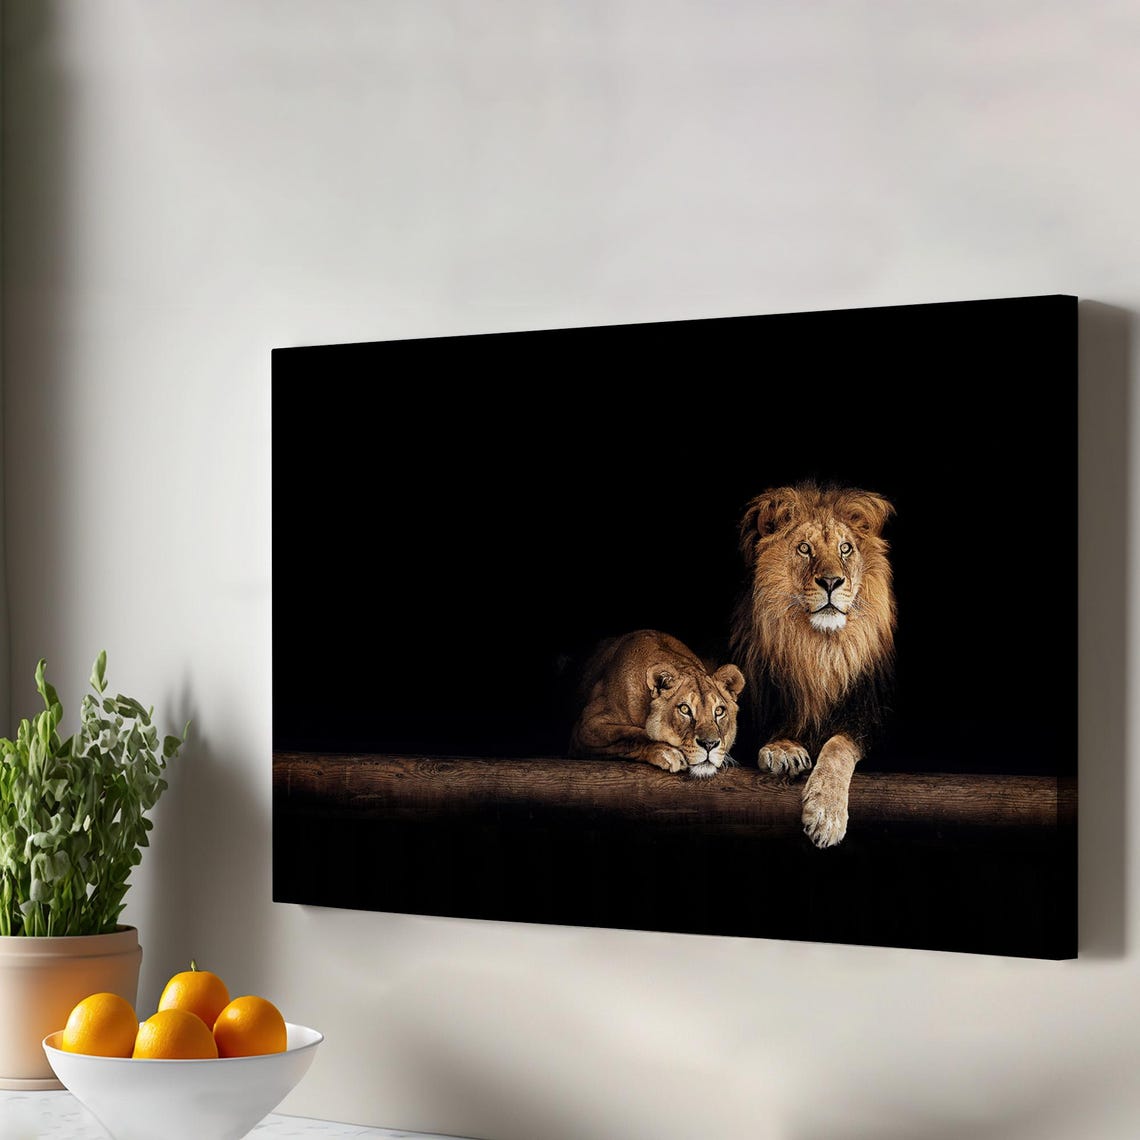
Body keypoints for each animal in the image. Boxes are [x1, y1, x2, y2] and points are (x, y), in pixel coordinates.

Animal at [569, 630, 745, 779]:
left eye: (719, 711)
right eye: (684, 709)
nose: (709, 744)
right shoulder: (586, 726)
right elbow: (632, 735)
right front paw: (668, 751)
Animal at [730, 483, 896, 847]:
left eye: (845, 548)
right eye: (804, 549)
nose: (831, 582)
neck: (819, 650)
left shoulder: (867, 718)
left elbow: (837, 747)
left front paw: (826, 814)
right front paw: (783, 749)